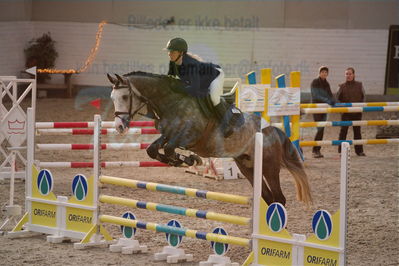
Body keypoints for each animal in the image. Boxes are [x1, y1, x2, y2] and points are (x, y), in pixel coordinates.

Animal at [108, 71, 312, 206]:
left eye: (125, 97)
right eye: (112, 97)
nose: (119, 126)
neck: (171, 101)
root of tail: (273, 130)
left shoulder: (189, 136)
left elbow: (169, 149)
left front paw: (190, 159)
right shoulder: (169, 135)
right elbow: (153, 150)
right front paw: (183, 160)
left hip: (269, 166)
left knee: (279, 198)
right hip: (247, 166)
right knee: (268, 197)